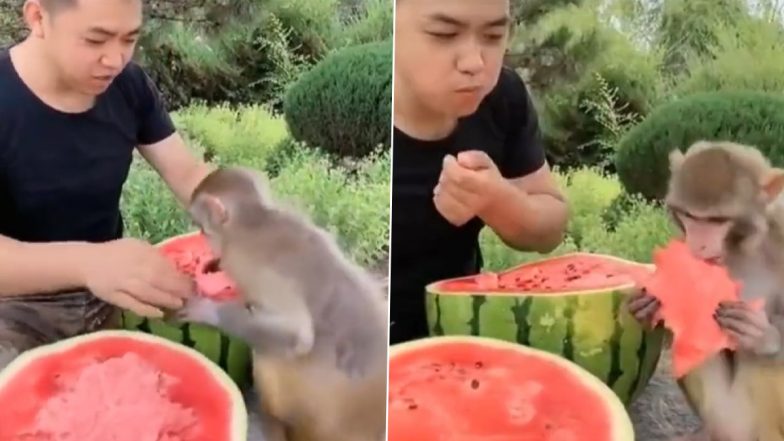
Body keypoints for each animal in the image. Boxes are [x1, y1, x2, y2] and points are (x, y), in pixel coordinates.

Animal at [174, 166, 388, 440]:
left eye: (203, 229)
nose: (205, 240)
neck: (256, 222)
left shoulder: (247, 265)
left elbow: (298, 335)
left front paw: (208, 311)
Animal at [628, 140, 784, 440]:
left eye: (717, 220)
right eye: (690, 216)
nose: (697, 245)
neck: (738, 250)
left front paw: (764, 336)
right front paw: (643, 309)